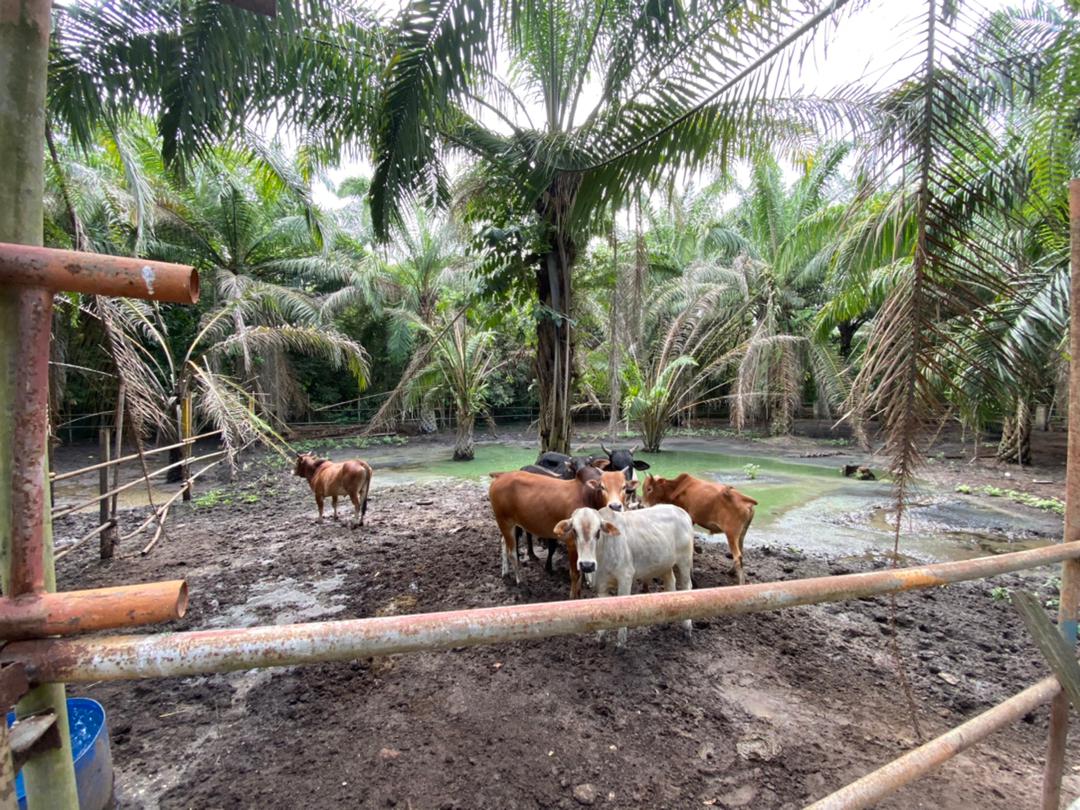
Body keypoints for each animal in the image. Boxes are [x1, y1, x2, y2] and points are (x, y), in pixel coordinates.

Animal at [494, 466, 635, 600]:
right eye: (602, 486)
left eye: (624, 487)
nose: (615, 506)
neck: (587, 496)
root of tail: (500, 477)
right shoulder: (572, 543)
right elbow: (575, 573)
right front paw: (573, 597)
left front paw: (579, 593)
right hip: (504, 521)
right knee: (512, 553)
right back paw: (520, 581)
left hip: (511, 524)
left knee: (503, 542)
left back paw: (505, 572)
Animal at [552, 507, 695, 648]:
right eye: (574, 531)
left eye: (598, 532)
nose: (587, 565)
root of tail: (682, 512)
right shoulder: (601, 584)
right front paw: (600, 638)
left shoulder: (625, 577)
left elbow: (622, 609)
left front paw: (621, 642)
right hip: (665, 565)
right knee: (670, 583)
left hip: (685, 561)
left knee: (687, 586)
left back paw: (687, 627)